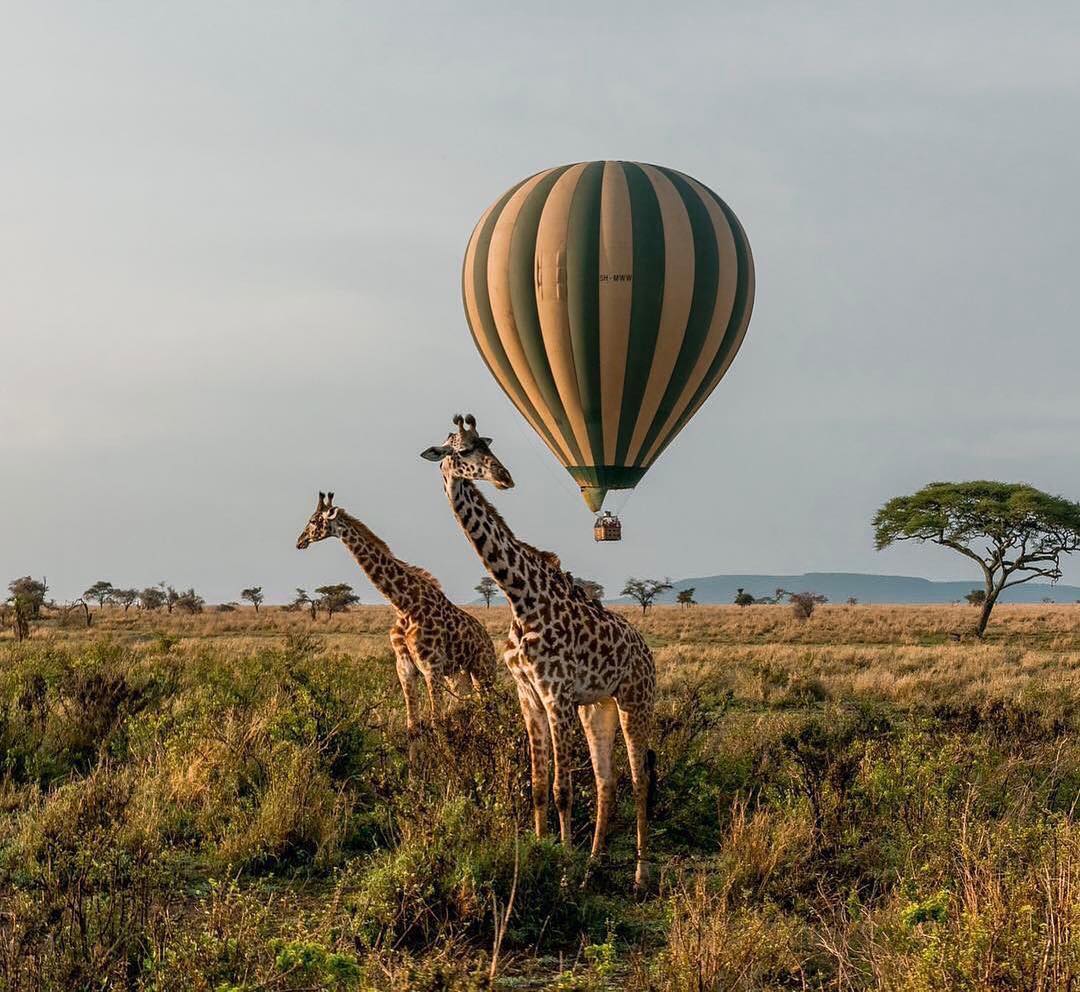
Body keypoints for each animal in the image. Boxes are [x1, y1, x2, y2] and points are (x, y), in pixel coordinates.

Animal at [295, 494, 496, 738]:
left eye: (314, 521)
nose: (300, 541)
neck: (404, 604)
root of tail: (488, 640)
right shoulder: (405, 667)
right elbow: (413, 727)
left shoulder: (431, 667)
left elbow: (436, 723)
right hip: (459, 675)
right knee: (470, 706)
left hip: (483, 671)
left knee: (490, 709)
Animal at [421, 414, 656, 889]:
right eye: (461, 450)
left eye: (485, 444)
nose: (504, 477)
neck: (520, 596)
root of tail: (647, 653)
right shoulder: (528, 695)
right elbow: (537, 787)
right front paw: (541, 856)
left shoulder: (556, 695)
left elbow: (562, 791)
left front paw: (562, 874)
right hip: (598, 706)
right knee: (607, 781)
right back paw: (592, 867)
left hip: (634, 701)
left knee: (639, 780)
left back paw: (639, 876)